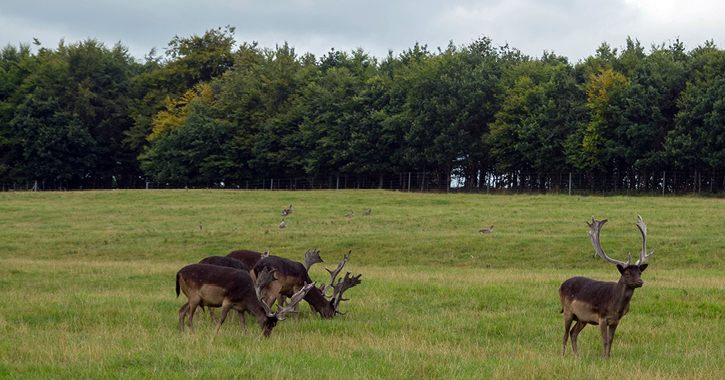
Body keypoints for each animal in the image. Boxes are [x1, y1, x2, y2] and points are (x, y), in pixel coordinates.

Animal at [177, 262, 312, 336]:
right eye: (266, 322)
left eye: (274, 325)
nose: (266, 335)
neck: (247, 296)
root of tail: (178, 273)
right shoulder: (228, 300)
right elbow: (222, 319)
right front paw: (214, 333)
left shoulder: (240, 307)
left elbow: (242, 321)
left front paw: (244, 334)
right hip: (194, 296)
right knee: (189, 314)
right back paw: (193, 333)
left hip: (192, 298)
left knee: (181, 310)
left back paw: (182, 333)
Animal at [556, 215, 652, 358]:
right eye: (627, 273)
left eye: (639, 272)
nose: (640, 281)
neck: (616, 307)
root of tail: (561, 285)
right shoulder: (602, 318)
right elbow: (604, 339)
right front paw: (603, 358)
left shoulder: (616, 320)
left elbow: (611, 339)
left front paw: (608, 357)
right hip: (567, 310)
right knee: (565, 333)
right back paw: (562, 355)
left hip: (582, 318)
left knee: (573, 332)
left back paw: (576, 355)